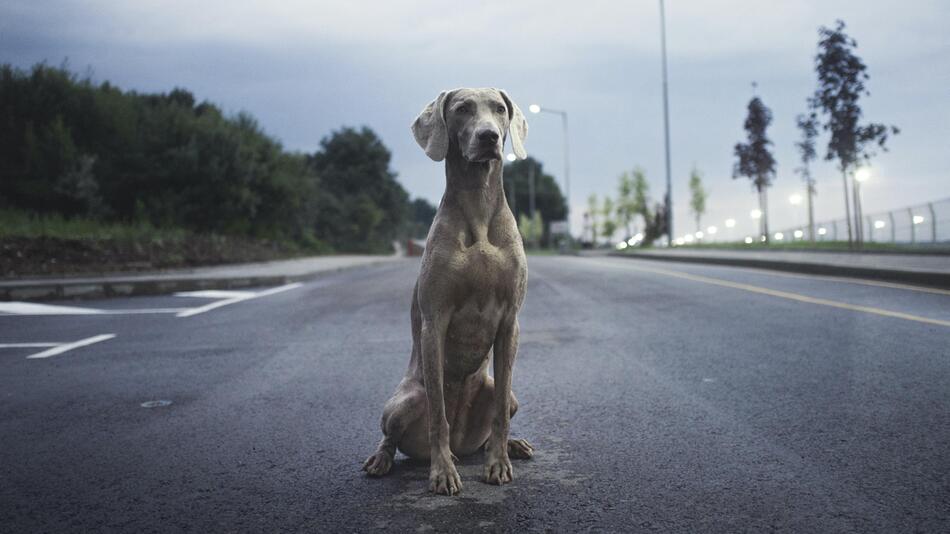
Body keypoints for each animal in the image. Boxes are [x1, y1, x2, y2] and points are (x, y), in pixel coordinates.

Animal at [362, 89, 532, 498]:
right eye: (462, 109)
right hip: (403, 401)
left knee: (498, 411)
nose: (489, 137)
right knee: (392, 435)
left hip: (503, 395)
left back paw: (510, 446)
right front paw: (442, 473)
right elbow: (439, 414)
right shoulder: (434, 322)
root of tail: (461, 445)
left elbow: (500, 412)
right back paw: (383, 460)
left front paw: (498, 464)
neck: (479, 210)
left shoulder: (510, 322)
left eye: (500, 109)